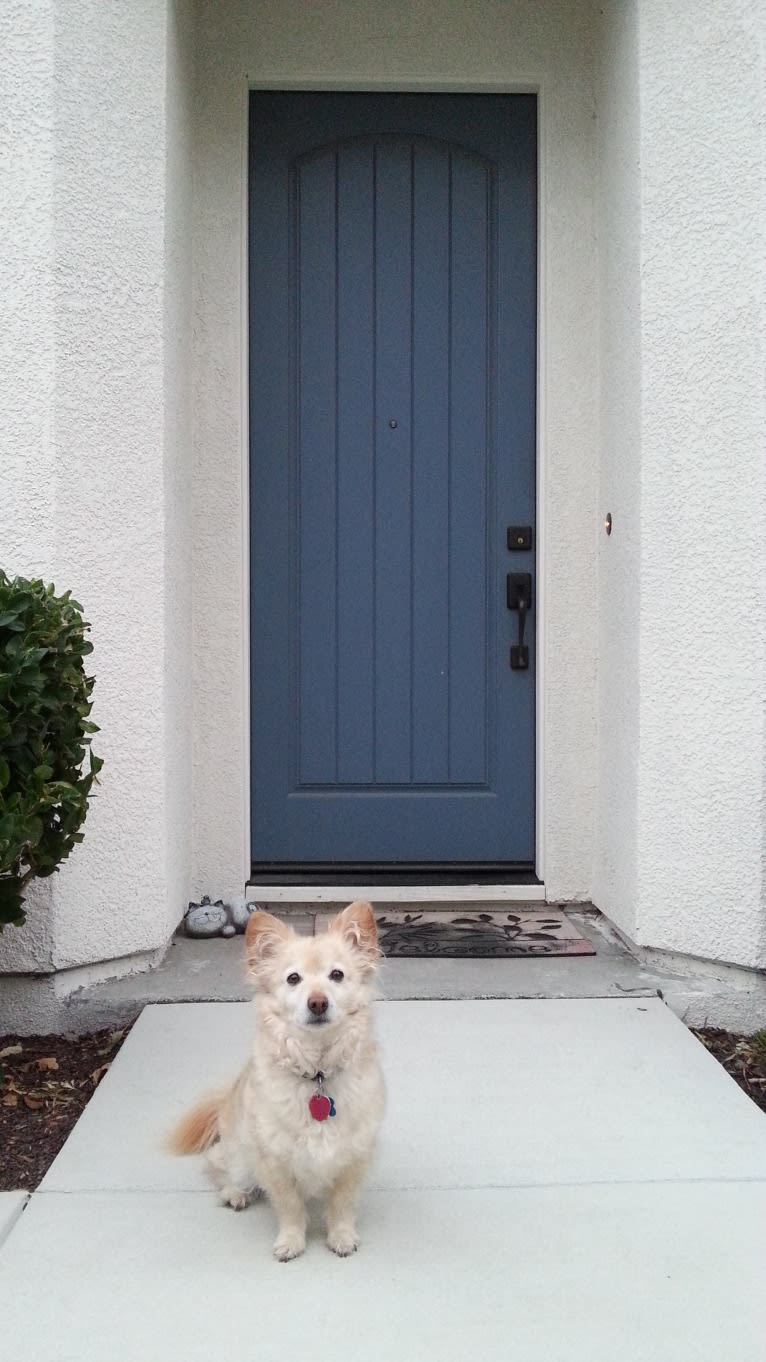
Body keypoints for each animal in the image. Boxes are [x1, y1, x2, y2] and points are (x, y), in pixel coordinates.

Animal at [168, 898, 381, 1258]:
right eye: (293, 979)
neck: (316, 1073)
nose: (318, 1002)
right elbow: (290, 1206)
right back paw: (236, 1193)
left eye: (337, 975)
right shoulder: (274, 1161)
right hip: (238, 1156)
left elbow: (342, 1204)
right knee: (219, 1168)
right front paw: (291, 1241)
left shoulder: (354, 1157)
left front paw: (341, 1236)